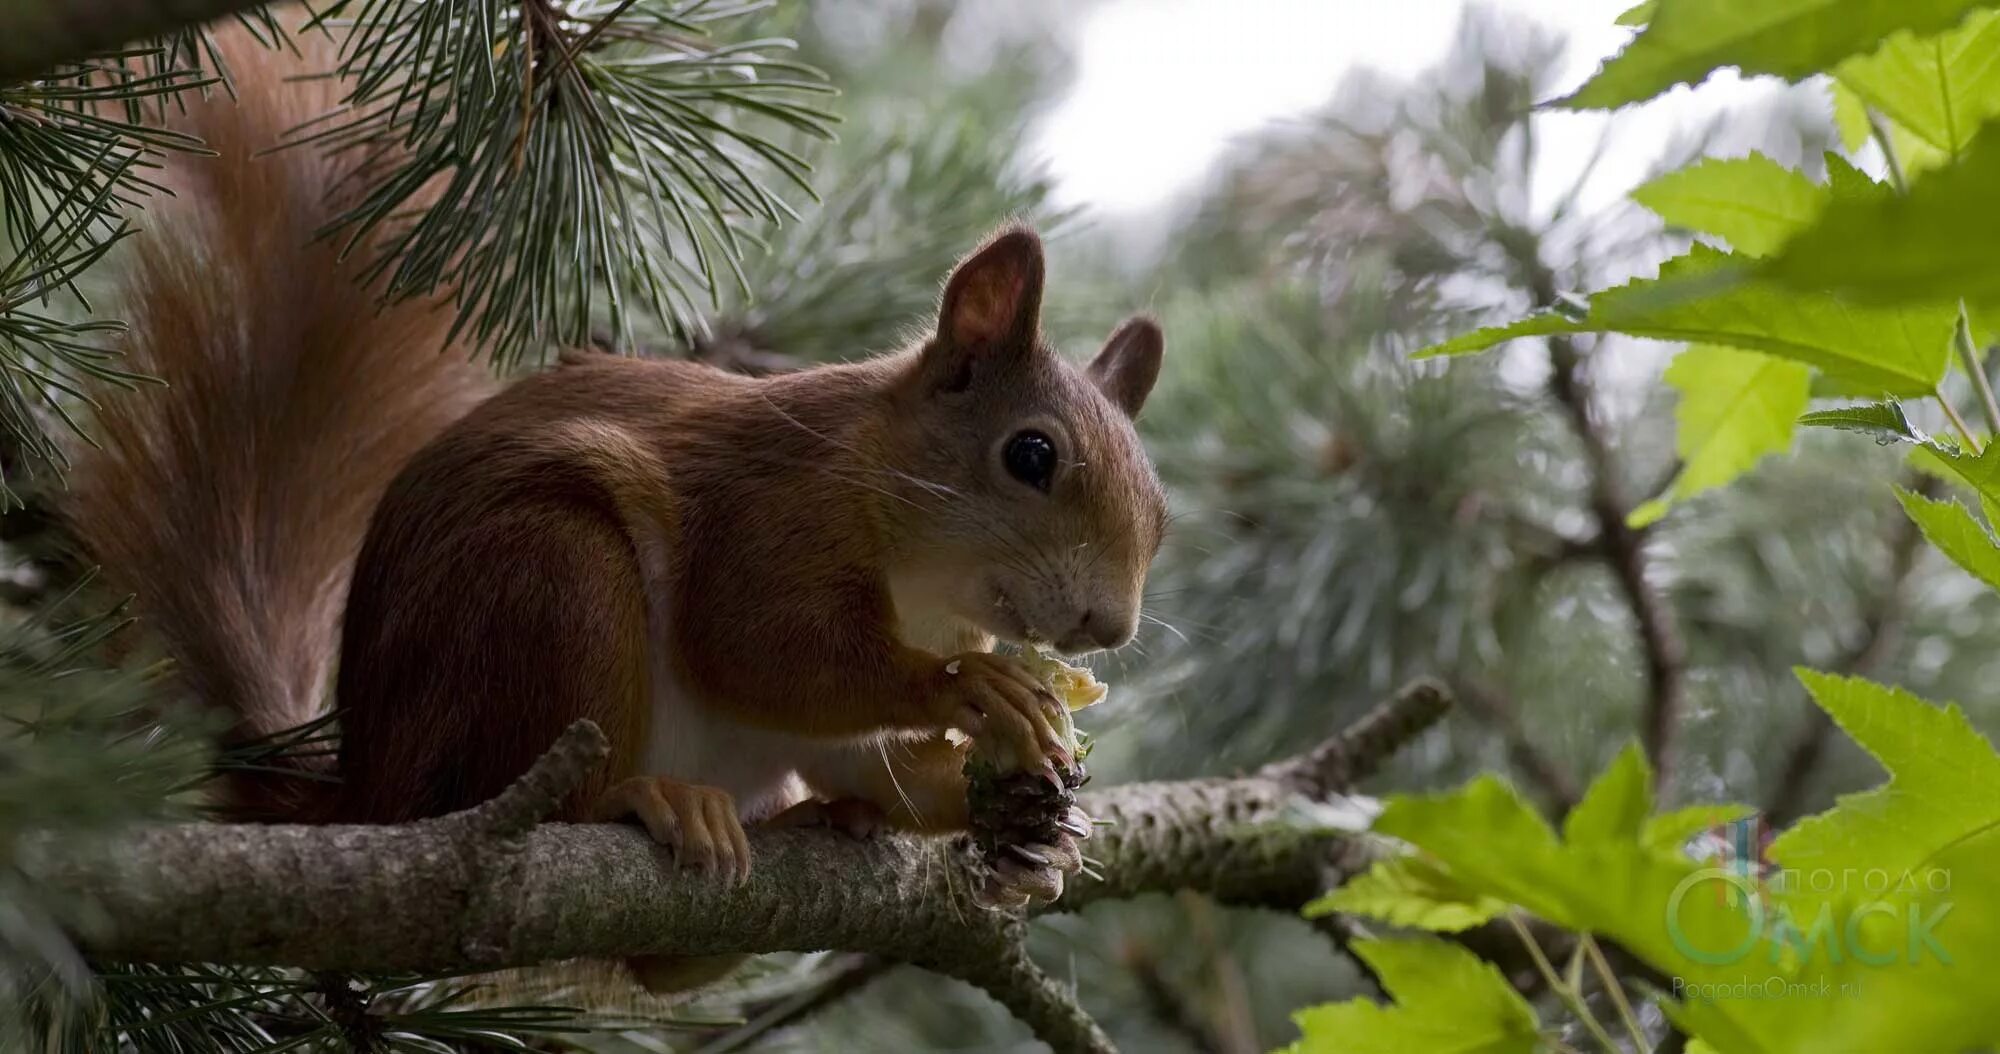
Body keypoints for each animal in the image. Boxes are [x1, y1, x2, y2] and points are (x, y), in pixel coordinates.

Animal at [66, 28, 1168, 996]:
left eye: (1158, 510)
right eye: (1030, 455)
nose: (1108, 626)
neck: (920, 570)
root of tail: (373, 796)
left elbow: (856, 745)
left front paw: (1024, 821)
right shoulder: (768, 516)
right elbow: (759, 649)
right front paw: (968, 687)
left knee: (664, 958)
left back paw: (817, 829)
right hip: (551, 587)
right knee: (542, 802)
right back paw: (649, 800)